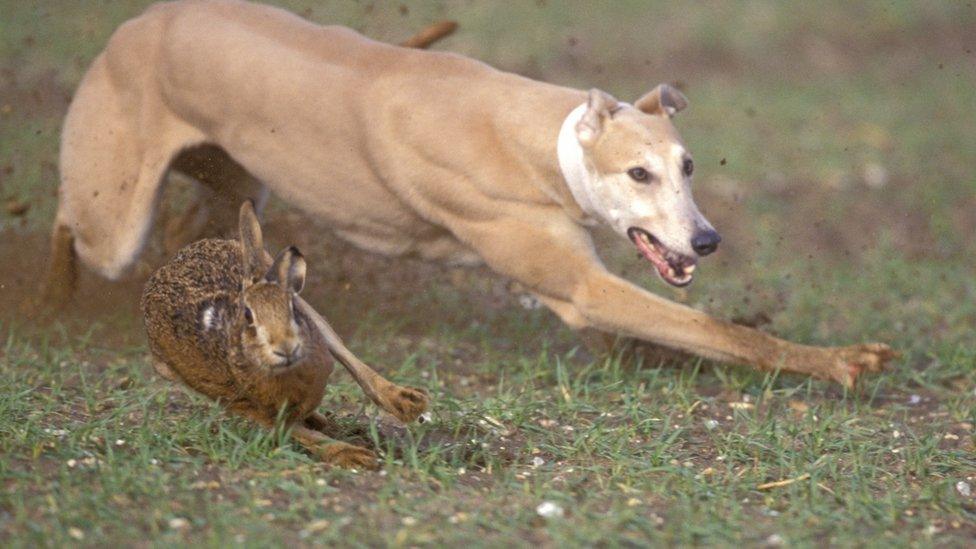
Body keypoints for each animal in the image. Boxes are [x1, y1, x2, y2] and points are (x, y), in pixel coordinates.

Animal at [47, 0, 900, 386]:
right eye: (640, 173)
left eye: (688, 165)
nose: (707, 241)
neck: (545, 141)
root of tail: (141, 21)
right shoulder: (581, 286)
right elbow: (721, 329)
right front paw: (842, 361)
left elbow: (668, 330)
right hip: (111, 212)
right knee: (74, 224)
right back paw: (54, 294)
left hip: (234, 169)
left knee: (204, 219)